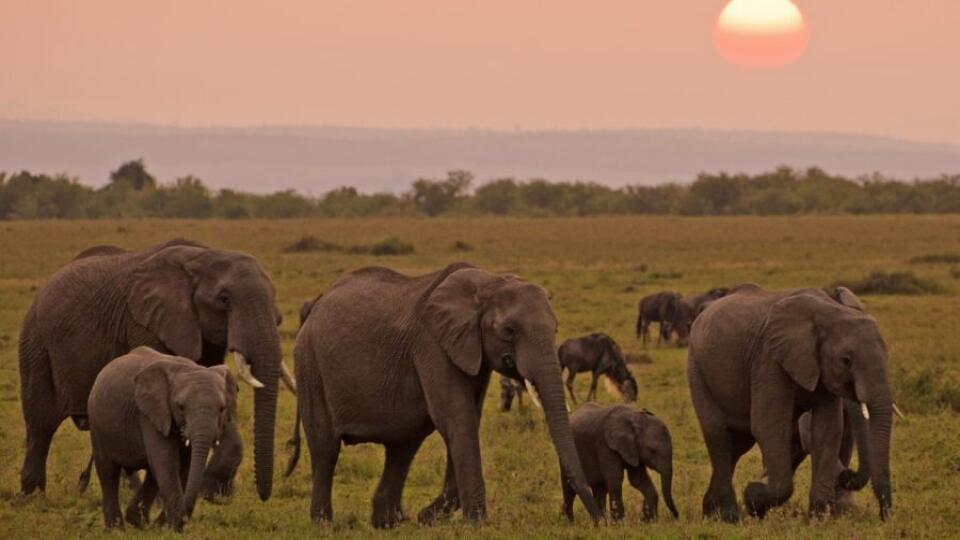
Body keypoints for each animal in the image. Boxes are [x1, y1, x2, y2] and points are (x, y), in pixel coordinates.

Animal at [17, 238, 288, 500]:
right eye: (224, 299)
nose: (264, 496)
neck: (203, 255)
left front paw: (213, 495)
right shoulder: (145, 324)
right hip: (36, 345)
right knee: (40, 424)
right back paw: (33, 498)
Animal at [88, 348, 238, 528]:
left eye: (222, 408)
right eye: (181, 407)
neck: (187, 368)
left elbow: (183, 466)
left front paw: (162, 528)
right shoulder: (150, 414)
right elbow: (167, 463)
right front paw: (171, 528)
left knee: (152, 474)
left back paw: (138, 522)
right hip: (96, 423)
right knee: (108, 472)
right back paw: (118, 529)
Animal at [296, 262, 604, 528]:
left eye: (556, 329)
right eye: (509, 330)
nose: (598, 520)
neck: (487, 283)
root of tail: (316, 304)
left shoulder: (472, 351)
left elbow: (468, 419)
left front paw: (427, 517)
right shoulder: (432, 344)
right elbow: (456, 417)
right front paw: (476, 523)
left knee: (402, 446)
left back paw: (388, 522)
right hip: (310, 365)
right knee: (326, 447)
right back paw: (324, 524)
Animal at [688, 284, 896, 520]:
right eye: (846, 361)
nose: (885, 516)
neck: (829, 311)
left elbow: (828, 429)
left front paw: (818, 517)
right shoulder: (768, 360)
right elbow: (769, 426)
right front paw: (753, 497)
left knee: (738, 444)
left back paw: (711, 512)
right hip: (698, 370)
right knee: (719, 437)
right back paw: (729, 516)